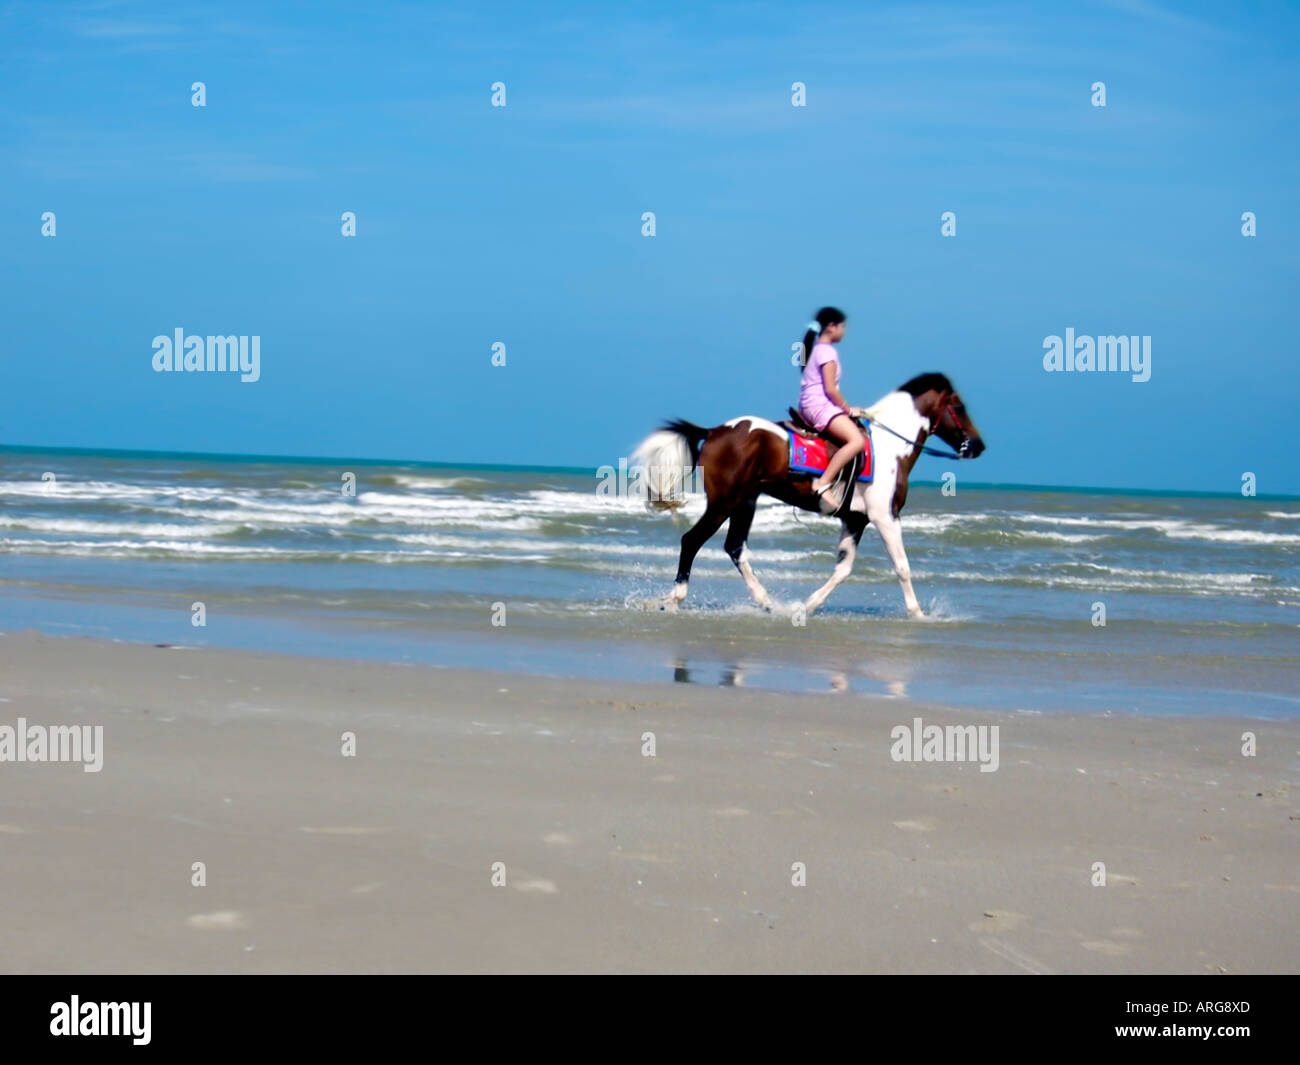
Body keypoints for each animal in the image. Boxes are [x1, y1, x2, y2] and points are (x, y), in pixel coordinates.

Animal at [631, 374, 982, 621]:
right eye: (960, 407)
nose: (978, 446)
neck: (890, 447)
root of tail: (715, 431)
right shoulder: (885, 517)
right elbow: (902, 566)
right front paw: (917, 613)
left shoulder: (856, 520)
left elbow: (843, 569)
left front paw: (808, 606)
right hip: (724, 503)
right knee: (692, 540)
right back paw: (675, 599)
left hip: (745, 502)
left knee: (735, 547)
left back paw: (767, 602)